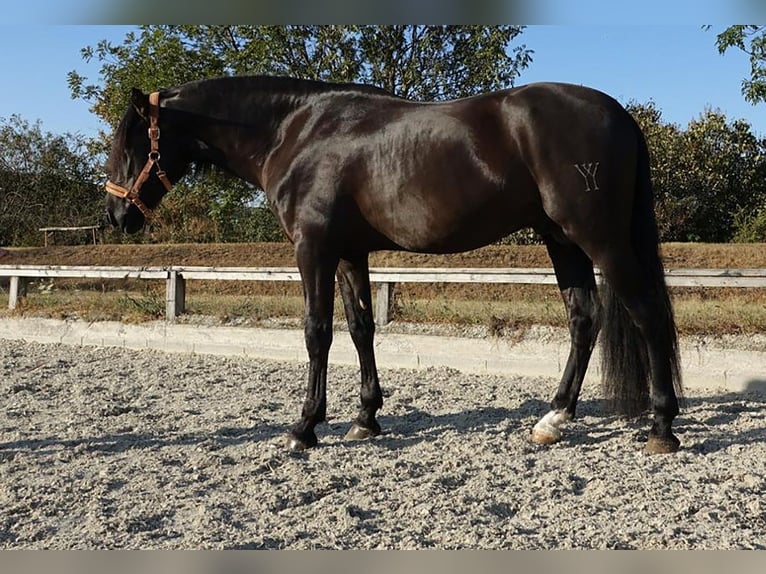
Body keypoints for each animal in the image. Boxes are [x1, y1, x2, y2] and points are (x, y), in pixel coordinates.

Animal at [105, 75, 688, 454]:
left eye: (130, 143)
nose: (115, 215)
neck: (297, 131)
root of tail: (619, 115)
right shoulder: (349, 253)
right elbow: (361, 327)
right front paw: (365, 419)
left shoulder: (313, 249)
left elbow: (317, 332)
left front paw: (304, 427)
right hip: (561, 241)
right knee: (584, 319)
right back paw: (553, 419)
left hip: (599, 239)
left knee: (646, 314)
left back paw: (661, 428)